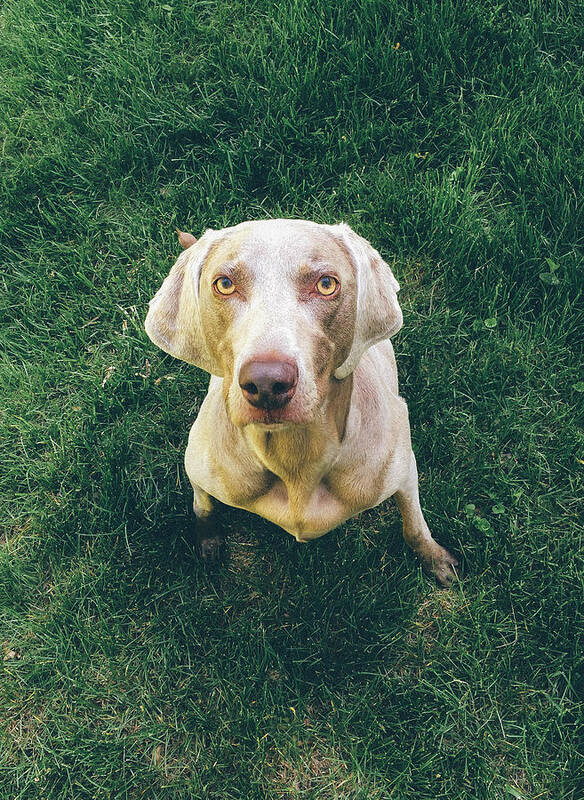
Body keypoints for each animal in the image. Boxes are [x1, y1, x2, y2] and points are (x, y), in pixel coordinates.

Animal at [144, 219, 458, 588]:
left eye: (326, 284)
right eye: (224, 284)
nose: (267, 384)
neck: (295, 459)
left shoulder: (403, 468)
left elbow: (413, 522)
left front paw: (434, 557)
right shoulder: (200, 464)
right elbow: (202, 505)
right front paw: (207, 539)